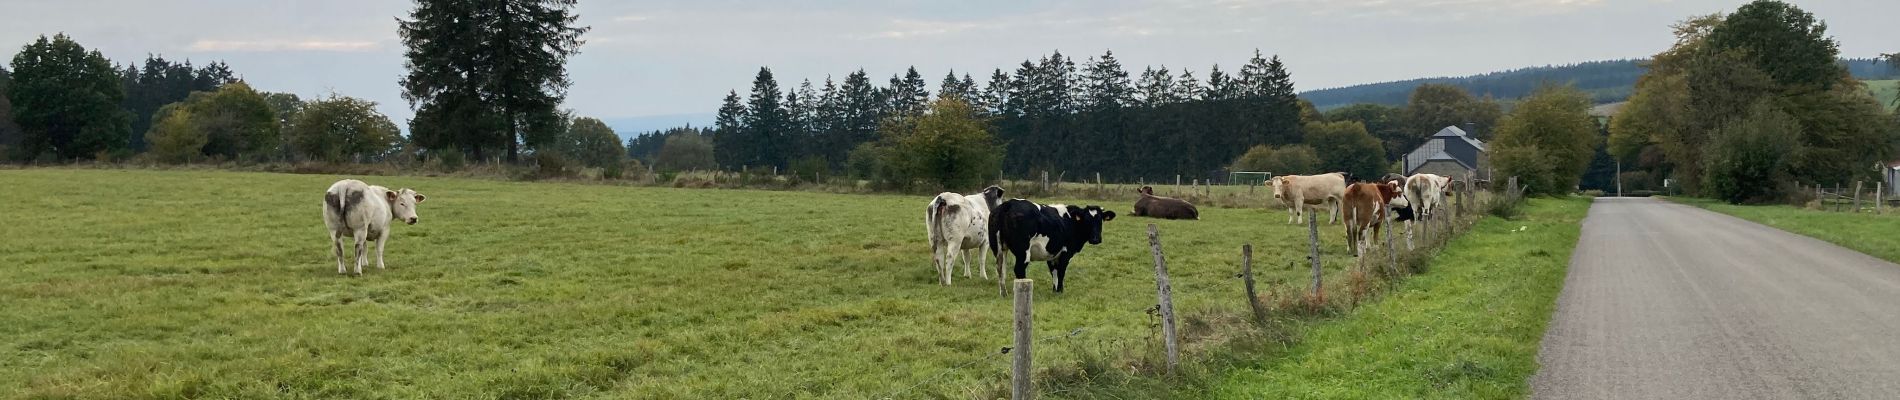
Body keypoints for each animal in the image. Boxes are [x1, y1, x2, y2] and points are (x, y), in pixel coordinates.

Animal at [988, 199, 1117, 290]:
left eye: (1100, 220)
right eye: (1087, 220)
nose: (1095, 239)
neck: (1071, 221)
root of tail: (1008, 204)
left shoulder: (1052, 253)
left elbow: (1053, 271)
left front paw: (1054, 289)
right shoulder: (1066, 252)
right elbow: (1061, 271)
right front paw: (1060, 290)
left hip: (999, 249)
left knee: (1000, 268)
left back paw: (1003, 292)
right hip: (1023, 252)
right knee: (1019, 269)